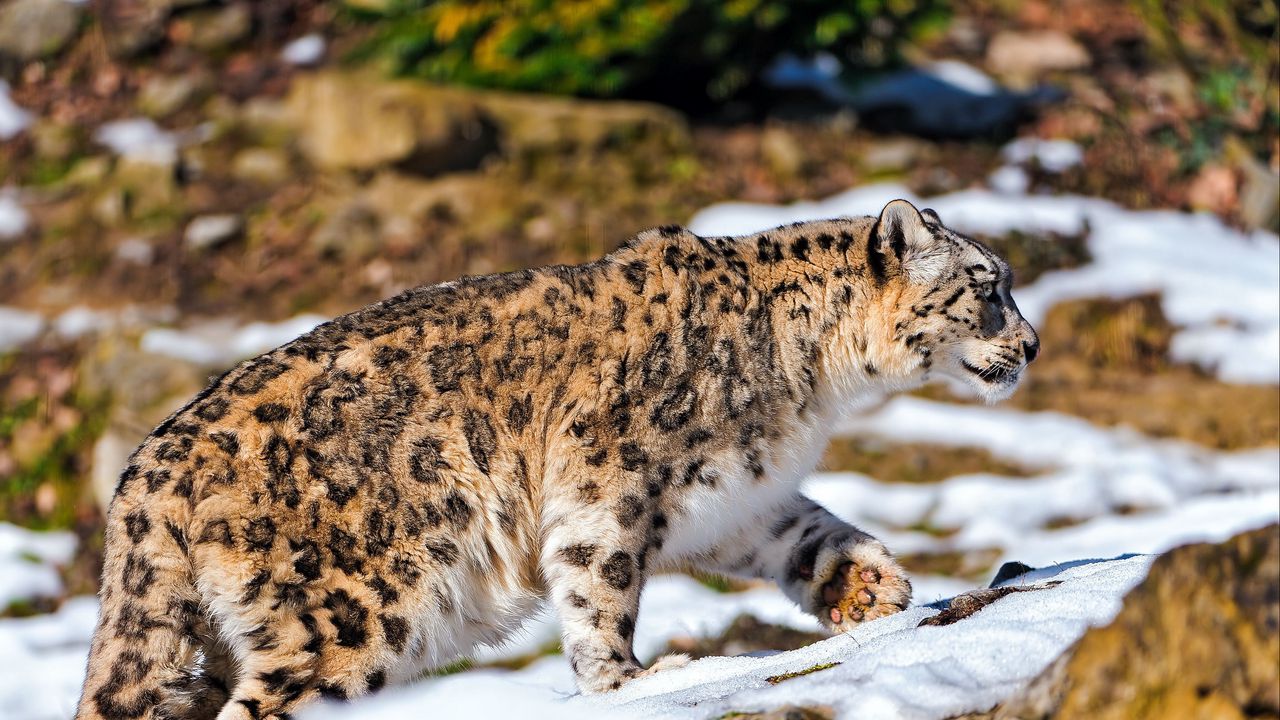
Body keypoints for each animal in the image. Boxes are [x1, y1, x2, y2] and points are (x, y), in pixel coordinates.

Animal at [74, 197, 1039, 717]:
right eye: (989, 289)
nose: (1031, 344)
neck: (811, 386)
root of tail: (146, 472)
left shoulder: (736, 498)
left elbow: (804, 531)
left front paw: (870, 587)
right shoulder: (610, 482)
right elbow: (598, 582)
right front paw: (629, 679)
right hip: (351, 618)